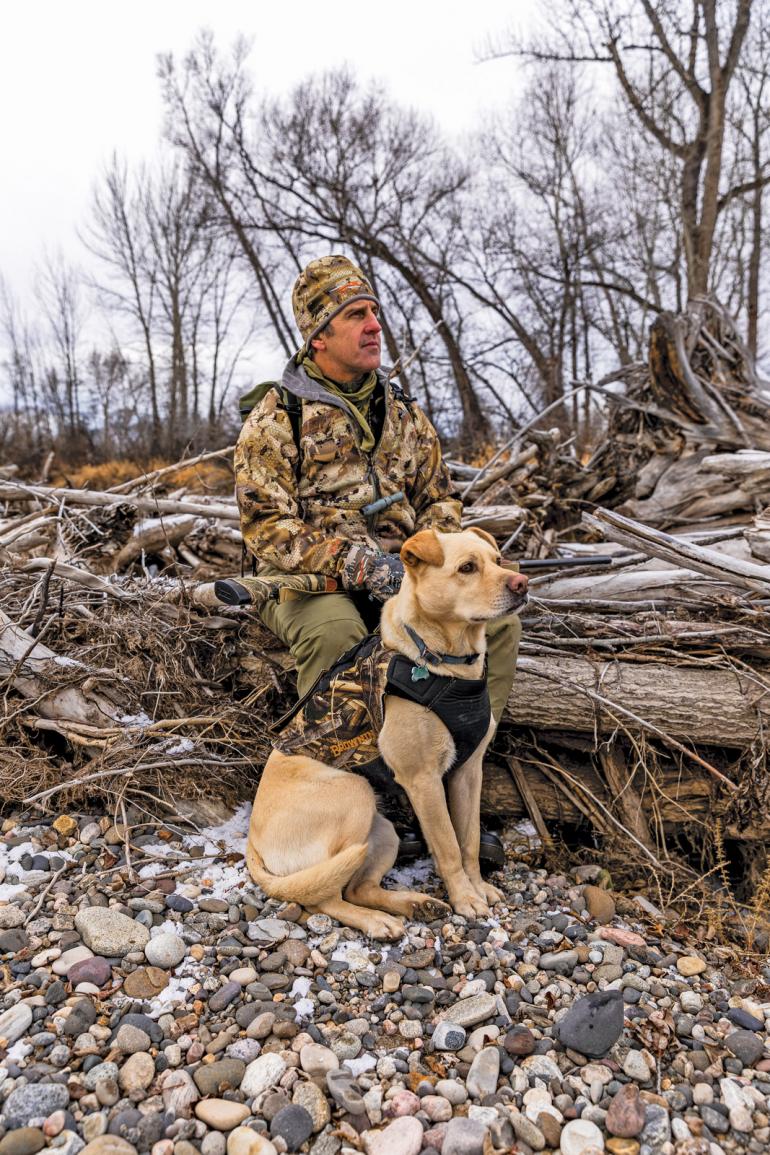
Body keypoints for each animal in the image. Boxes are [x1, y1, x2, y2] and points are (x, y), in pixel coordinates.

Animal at [250, 528, 526, 937]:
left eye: (496, 560)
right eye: (467, 567)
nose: (522, 584)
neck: (448, 664)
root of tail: (252, 844)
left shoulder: (468, 773)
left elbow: (470, 840)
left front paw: (478, 887)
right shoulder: (423, 780)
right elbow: (448, 845)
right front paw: (465, 898)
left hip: (381, 832)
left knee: (358, 888)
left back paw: (416, 905)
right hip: (355, 794)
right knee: (323, 898)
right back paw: (377, 921)